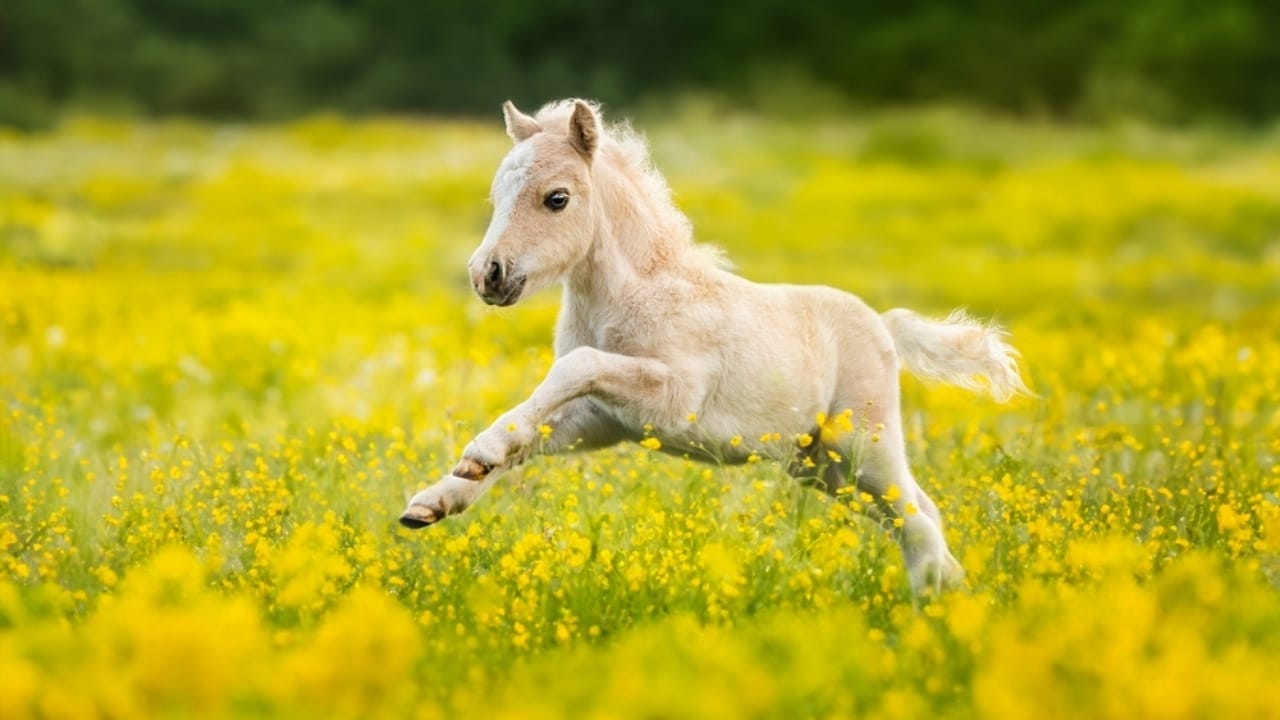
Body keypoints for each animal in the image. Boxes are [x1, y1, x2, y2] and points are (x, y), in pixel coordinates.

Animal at [400, 99, 1029, 595]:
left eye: (557, 198)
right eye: (496, 194)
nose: (488, 275)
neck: (637, 293)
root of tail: (884, 326)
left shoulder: (673, 398)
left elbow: (575, 366)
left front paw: (478, 452)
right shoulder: (603, 420)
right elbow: (534, 429)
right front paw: (438, 498)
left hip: (861, 447)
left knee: (918, 519)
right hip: (822, 468)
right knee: (916, 517)